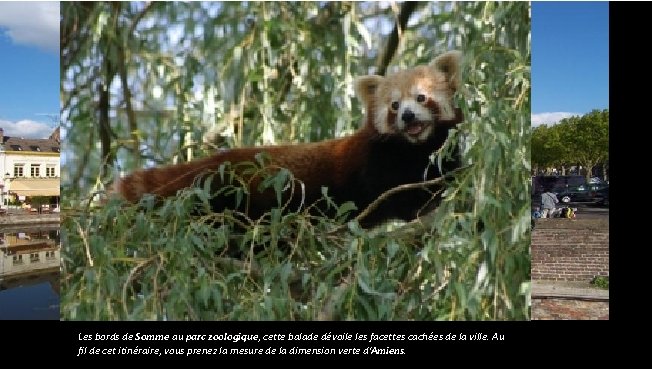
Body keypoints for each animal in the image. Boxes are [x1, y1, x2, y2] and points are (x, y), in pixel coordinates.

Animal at [114, 49, 466, 227]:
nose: (407, 116)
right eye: (394, 105)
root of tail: (214, 163)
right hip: (233, 196)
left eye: (421, 98)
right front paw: (429, 204)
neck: (415, 150)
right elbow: (396, 197)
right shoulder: (376, 163)